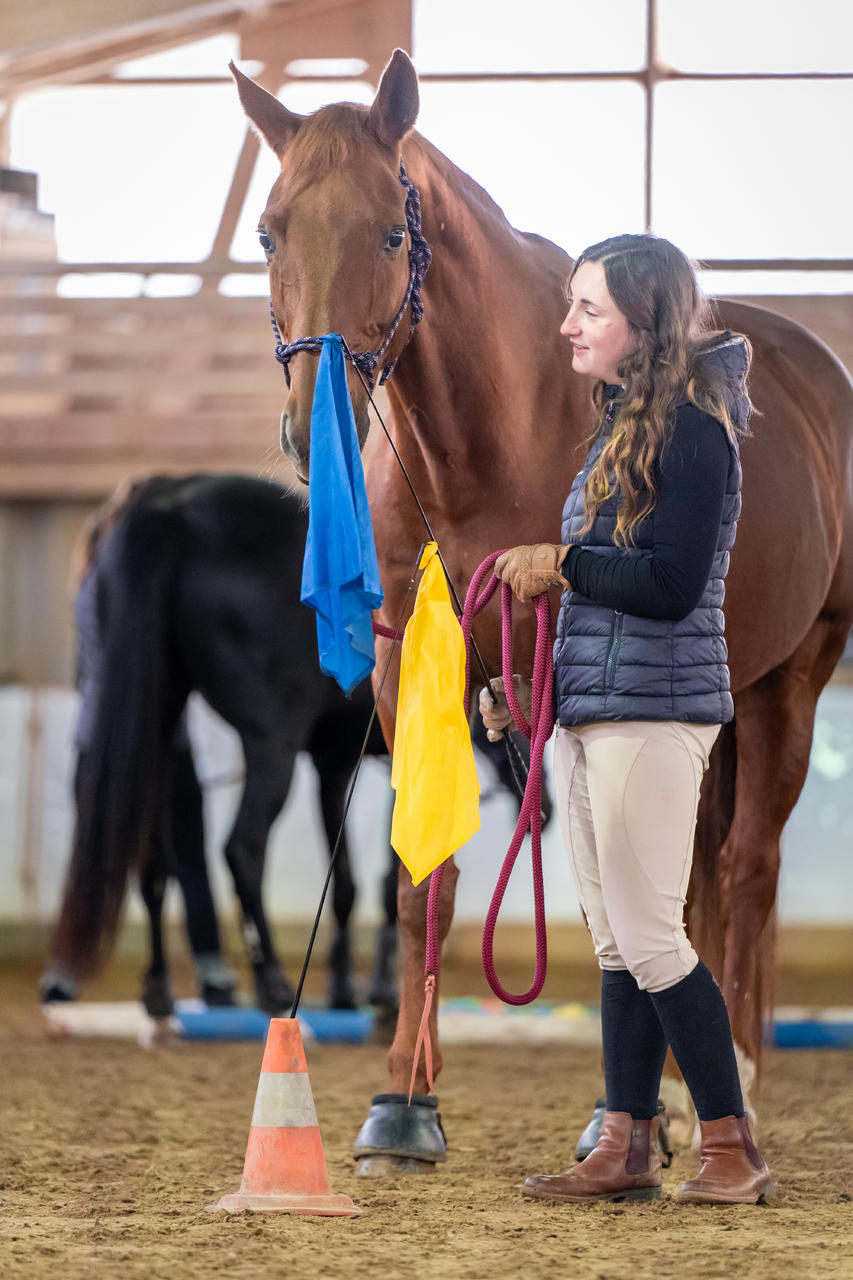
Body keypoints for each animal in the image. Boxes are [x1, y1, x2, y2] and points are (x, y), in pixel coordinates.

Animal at [41, 471, 537, 1018]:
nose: (541, 810)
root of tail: (170, 505)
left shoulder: (334, 765)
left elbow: (344, 885)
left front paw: (344, 989)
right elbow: (392, 877)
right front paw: (382, 993)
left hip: (161, 732)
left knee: (153, 863)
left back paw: (159, 988)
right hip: (269, 748)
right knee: (242, 848)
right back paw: (271, 983)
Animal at [233, 52, 850, 1162]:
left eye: (390, 234)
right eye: (268, 231)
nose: (309, 429)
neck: (489, 438)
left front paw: (621, 1116)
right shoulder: (404, 666)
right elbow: (421, 878)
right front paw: (405, 1098)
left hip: (794, 675)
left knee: (745, 865)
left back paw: (730, 1078)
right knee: (696, 874)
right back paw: (687, 1089)